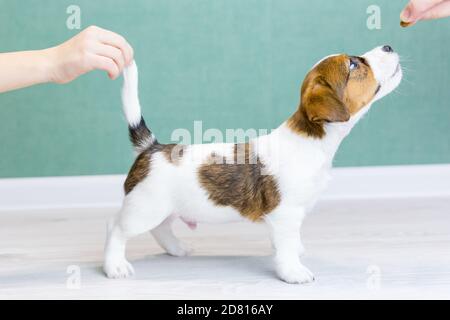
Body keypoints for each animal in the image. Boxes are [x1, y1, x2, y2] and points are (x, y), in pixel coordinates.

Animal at [103, 44, 402, 282]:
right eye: (353, 64)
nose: (388, 46)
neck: (312, 139)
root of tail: (151, 147)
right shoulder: (285, 213)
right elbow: (286, 246)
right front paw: (293, 271)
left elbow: (291, 240)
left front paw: (296, 251)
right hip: (144, 208)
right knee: (116, 230)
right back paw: (114, 266)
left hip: (166, 208)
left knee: (161, 228)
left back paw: (177, 248)